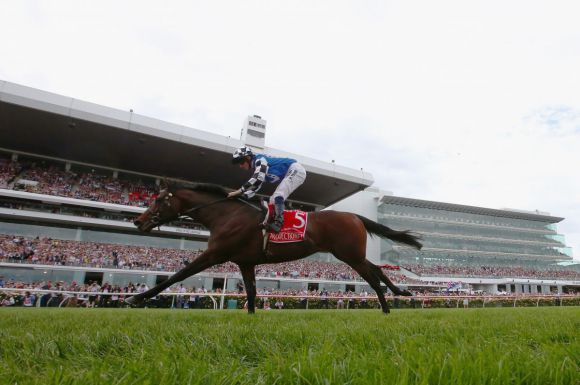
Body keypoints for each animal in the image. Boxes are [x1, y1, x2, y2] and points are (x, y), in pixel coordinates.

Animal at [130, 182, 422, 312]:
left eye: (159, 200)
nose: (138, 221)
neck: (226, 215)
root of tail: (354, 215)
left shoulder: (215, 254)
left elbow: (178, 275)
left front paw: (137, 297)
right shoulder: (245, 262)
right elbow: (250, 292)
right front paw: (250, 317)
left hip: (349, 255)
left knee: (372, 276)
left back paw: (386, 305)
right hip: (351, 254)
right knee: (378, 269)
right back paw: (401, 292)